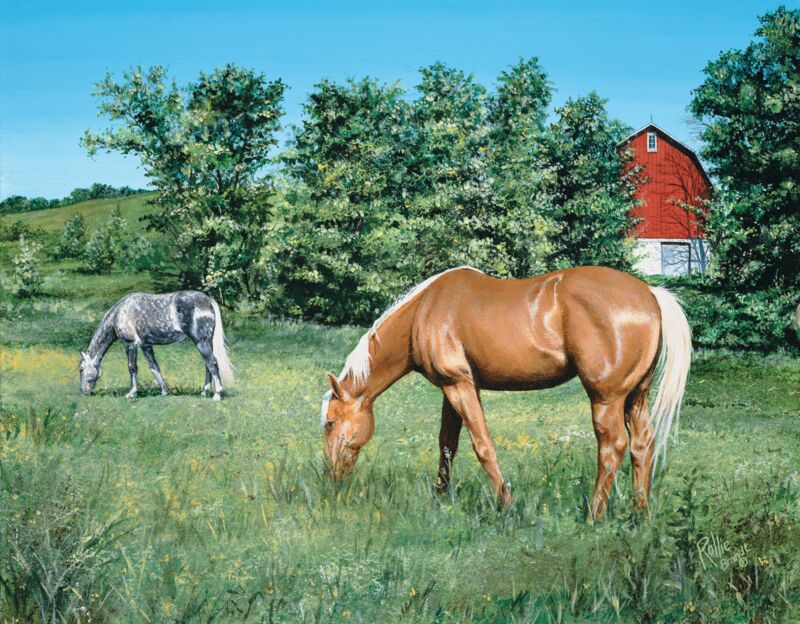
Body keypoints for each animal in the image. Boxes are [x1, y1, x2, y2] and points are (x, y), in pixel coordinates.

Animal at [79, 291, 234, 400]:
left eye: (81, 369)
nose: (83, 392)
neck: (121, 312)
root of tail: (207, 300)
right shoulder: (146, 345)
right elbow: (154, 367)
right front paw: (164, 391)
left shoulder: (130, 344)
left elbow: (132, 368)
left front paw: (132, 393)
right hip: (206, 342)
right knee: (208, 364)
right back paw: (204, 392)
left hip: (201, 341)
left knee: (212, 363)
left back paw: (217, 394)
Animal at [320, 265, 691, 520]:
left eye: (330, 423)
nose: (330, 476)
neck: (423, 311)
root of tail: (650, 293)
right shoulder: (451, 390)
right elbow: (447, 446)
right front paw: (439, 500)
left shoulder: (460, 386)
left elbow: (482, 445)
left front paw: (506, 504)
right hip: (636, 397)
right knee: (643, 445)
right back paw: (639, 514)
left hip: (607, 399)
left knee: (612, 447)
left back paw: (594, 516)